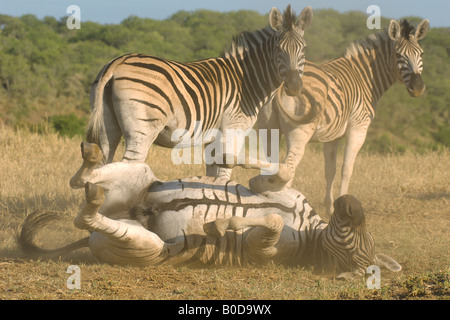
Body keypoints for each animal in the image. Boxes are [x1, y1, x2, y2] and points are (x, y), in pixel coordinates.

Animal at [19, 143, 402, 280]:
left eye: (357, 248)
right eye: (362, 236)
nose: (350, 202)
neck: (311, 229)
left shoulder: (263, 251)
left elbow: (271, 220)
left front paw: (220, 224)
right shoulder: (273, 189)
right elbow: (277, 171)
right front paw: (226, 156)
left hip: (148, 247)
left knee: (84, 216)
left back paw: (94, 200)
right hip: (140, 176)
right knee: (80, 180)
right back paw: (90, 160)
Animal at [71, 5, 312, 188]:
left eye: (303, 50)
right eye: (279, 50)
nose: (293, 87)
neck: (247, 80)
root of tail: (117, 63)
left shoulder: (214, 137)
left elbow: (213, 174)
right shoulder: (233, 128)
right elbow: (224, 173)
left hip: (108, 126)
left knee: (103, 163)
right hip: (143, 128)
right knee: (128, 165)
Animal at [253, 18, 428, 216]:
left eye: (421, 53)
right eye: (398, 54)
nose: (418, 87)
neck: (364, 77)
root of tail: (282, 80)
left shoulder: (332, 136)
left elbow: (330, 171)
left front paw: (330, 208)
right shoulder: (358, 129)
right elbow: (347, 168)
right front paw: (344, 206)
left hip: (268, 129)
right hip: (299, 132)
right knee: (287, 168)